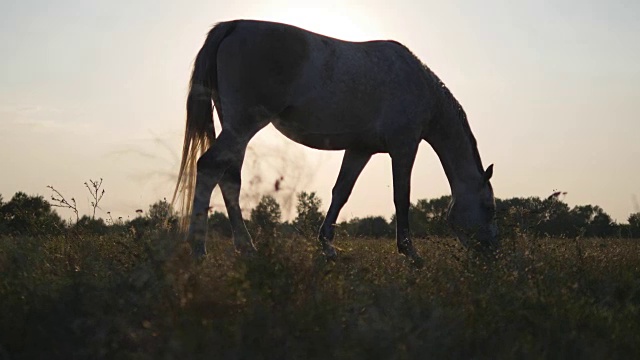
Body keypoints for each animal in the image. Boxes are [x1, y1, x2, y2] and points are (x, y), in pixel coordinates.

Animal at [172, 20, 498, 264]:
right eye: (489, 207)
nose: (491, 253)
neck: (419, 85)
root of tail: (233, 26)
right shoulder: (404, 148)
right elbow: (401, 198)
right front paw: (410, 253)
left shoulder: (360, 149)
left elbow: (341, 192)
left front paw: (327, 246)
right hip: (243, 125)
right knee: (209, 167)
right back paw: (198, 249)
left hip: (236, 128)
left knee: (229, 179)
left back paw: (245, 248)